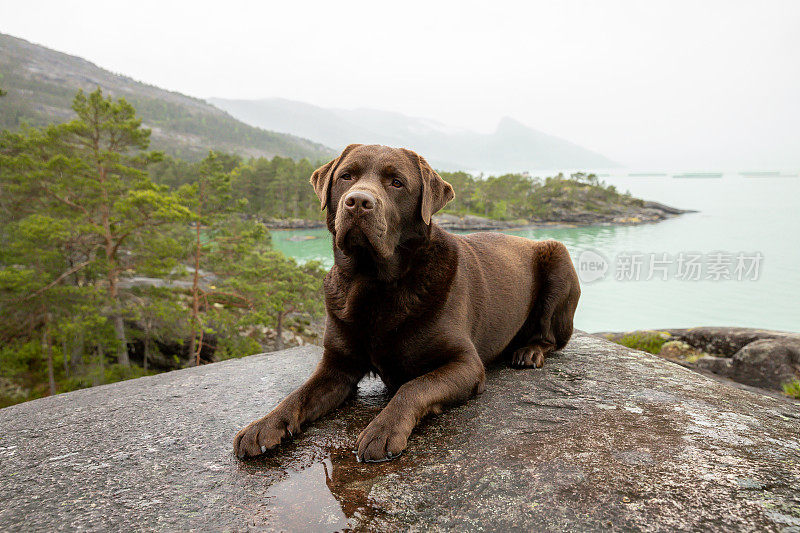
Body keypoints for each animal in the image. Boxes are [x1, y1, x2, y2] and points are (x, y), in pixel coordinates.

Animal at [234, 144, 580, 462]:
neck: (372, 281)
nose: (358, 202)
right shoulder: (337, 366)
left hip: (559, 259)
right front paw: (264, 425)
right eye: (347, 176)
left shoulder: (466, 364)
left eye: (397, 182)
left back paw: (529, 351)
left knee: (551, 337)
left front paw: (383, 430)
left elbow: (414, 386)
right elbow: (299, 394)